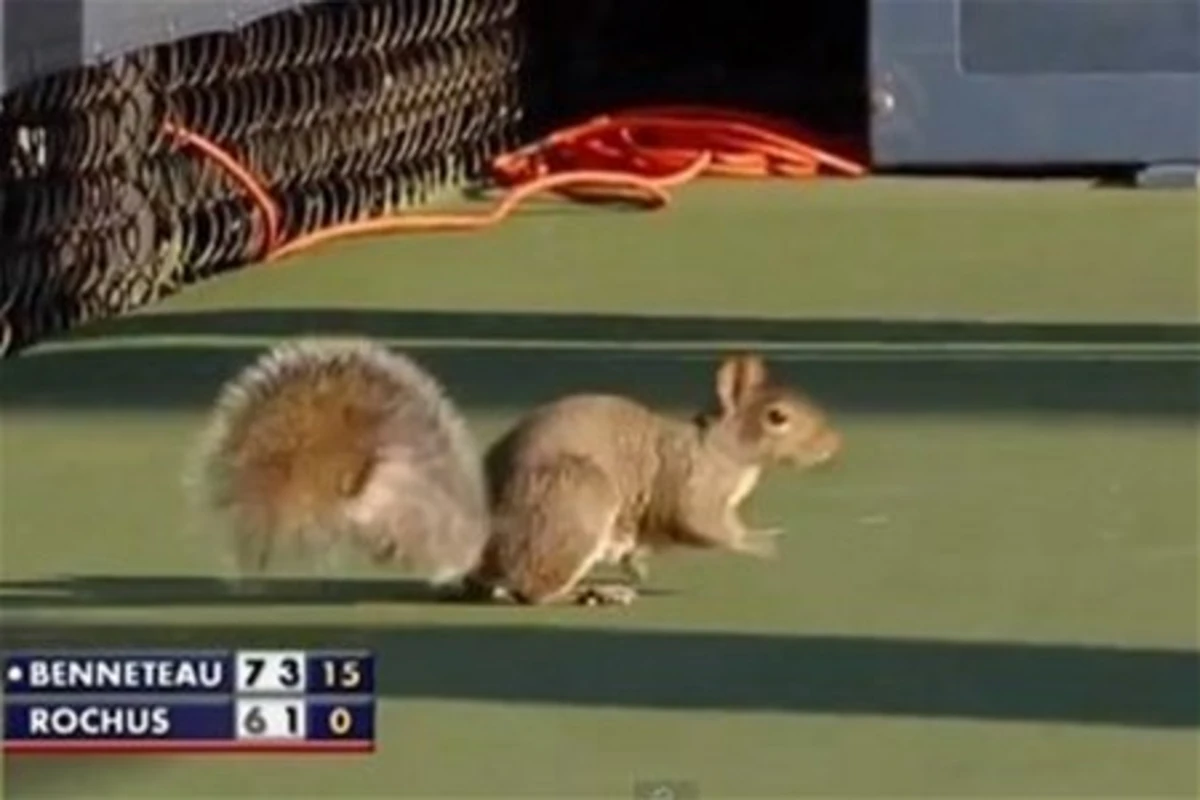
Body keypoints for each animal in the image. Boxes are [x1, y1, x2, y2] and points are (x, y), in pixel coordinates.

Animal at [189, 337, 841, 606]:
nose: (835, 445)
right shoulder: (693, 488)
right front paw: (761, 542)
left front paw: (638, 560)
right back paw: (589, 592)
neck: (723, 448)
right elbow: (704, 527)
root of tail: (482, 541)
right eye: (778, 418)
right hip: (577, 502)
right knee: (532, 590)